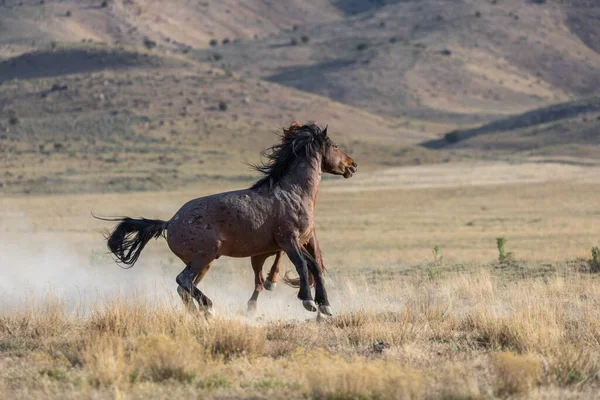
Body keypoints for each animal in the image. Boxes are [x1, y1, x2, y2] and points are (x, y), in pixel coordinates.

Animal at [99, 122, 356, 316]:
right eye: (334, 145)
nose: (352, 165)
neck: (293, 193)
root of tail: (170, 222)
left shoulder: (299, 242)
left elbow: (315, 267)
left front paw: (325, 305)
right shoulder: (288, 240)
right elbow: (303, 265)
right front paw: (308, 301)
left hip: (204, 262)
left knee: (184, 288)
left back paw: (199, 314)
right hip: (205, 256)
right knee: (183, 280)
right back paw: (209, 307)